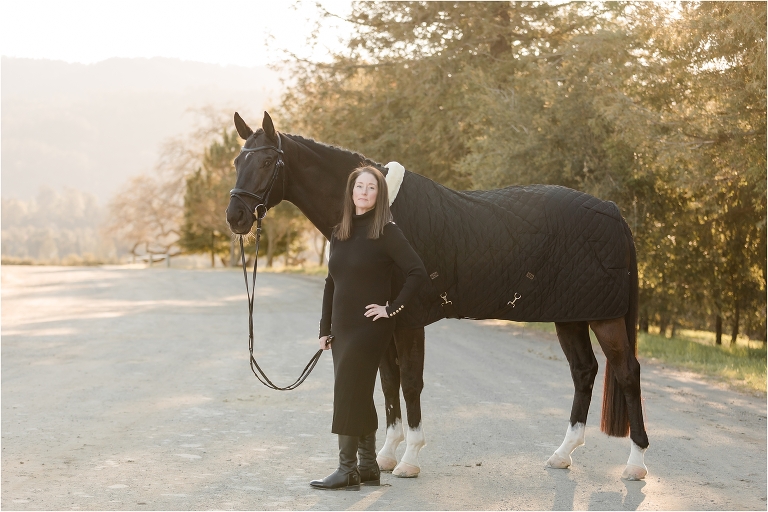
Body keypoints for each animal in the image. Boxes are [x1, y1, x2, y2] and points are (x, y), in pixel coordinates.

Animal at [225, 111, 649, 481]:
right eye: (237, 160)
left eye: (267, 161)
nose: (235, 216)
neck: (380, 214)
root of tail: (612, 211)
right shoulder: (384, 322)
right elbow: (389, 383)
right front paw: (386, 454)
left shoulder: (408, 319)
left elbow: (411, 383)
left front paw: (410, 459)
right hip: (571, 315)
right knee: (584, 371)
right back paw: (563, 454)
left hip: (605, 317)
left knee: (626, 372)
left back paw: (636, 464)